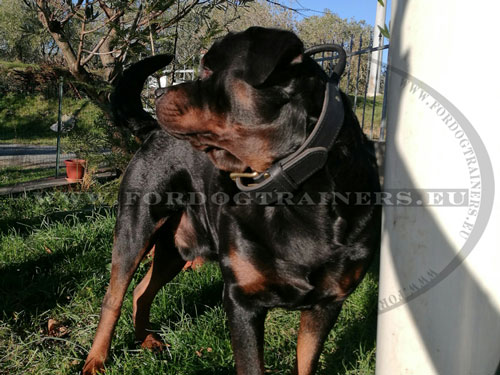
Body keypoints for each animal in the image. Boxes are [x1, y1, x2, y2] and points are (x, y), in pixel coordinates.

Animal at [82, 27, 380, 375]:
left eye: (209, 70)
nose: (158, 95)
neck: (296, 191)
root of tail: (152, 130)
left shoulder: (327, 304)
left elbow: (306, 363)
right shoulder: (241, 300)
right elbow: (251, 365)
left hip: (174, 247)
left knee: (142, 291)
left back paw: (146, 340)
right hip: (136, 227)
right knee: (113, 298)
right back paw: (96, 359)